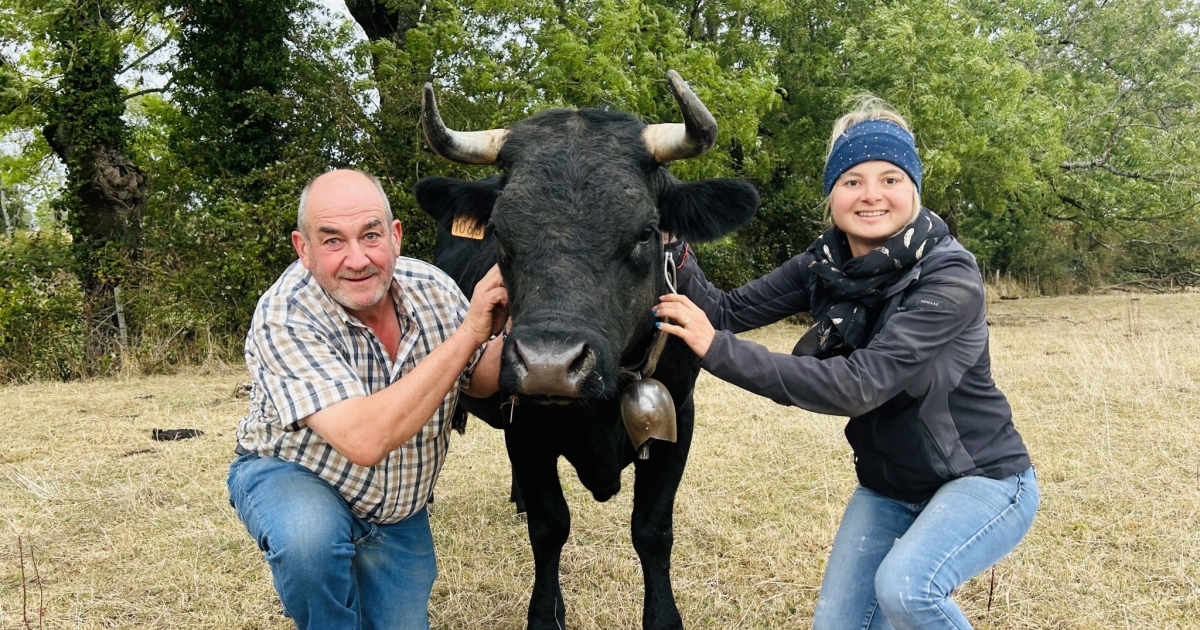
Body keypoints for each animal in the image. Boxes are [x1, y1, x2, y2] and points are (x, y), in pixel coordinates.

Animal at [417, 72, 758, 628]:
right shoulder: (525, 422)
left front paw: (663, 617)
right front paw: (545, 613)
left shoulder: (680, 415)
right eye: (500, 233)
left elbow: (652, 529)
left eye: (645, 231)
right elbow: (550, 526)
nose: (549, 366)